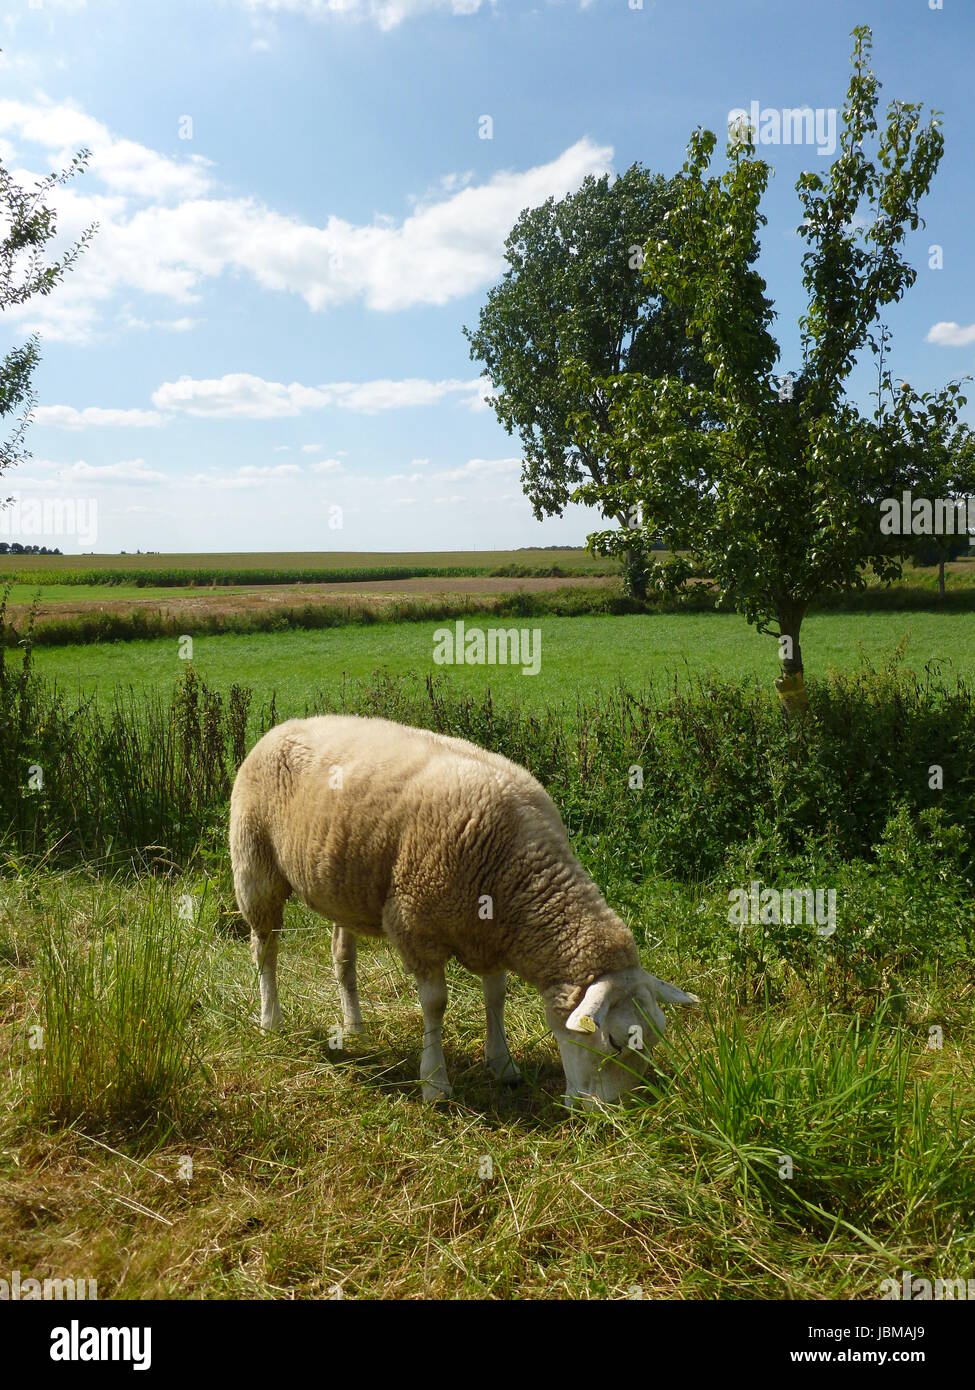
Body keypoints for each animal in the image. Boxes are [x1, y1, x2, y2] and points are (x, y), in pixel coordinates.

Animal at [229, 714, 698, 1107]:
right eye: (615, 1042)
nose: (622, 1113)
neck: (519, 879)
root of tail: (285, 724)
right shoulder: (416, 927)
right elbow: (435, 1004)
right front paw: (435, 1082)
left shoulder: (489, 933)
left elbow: (496, 996)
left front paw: (502, 1063)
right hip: (255, 868)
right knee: (264, 950)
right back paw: (271, 1020)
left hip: (344, 888)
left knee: (341, 957)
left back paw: (354, 1026)